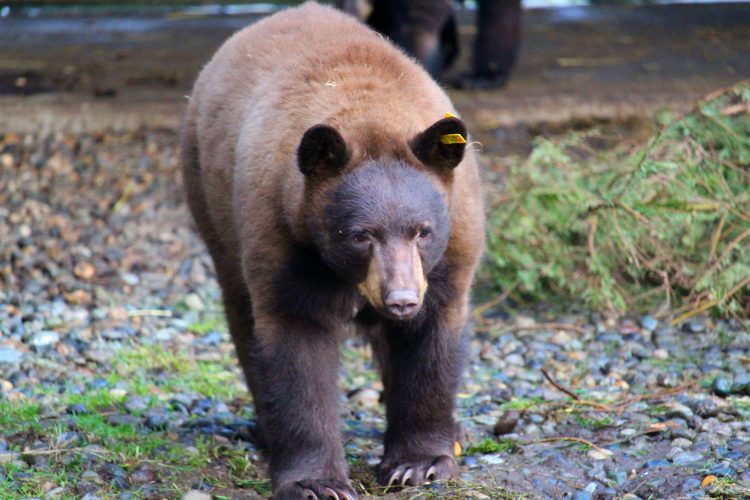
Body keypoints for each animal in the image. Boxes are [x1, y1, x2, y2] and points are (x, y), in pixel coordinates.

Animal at [181, 2, 485, 498]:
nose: (401, 299)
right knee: (242, 313)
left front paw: (419, 463)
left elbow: (432, 340)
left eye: (423, 231)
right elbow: (295, 345)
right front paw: (315, 481)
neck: (372, 117)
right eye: (361, 234)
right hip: (212, 203)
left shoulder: (451, 247)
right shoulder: (282, 234)